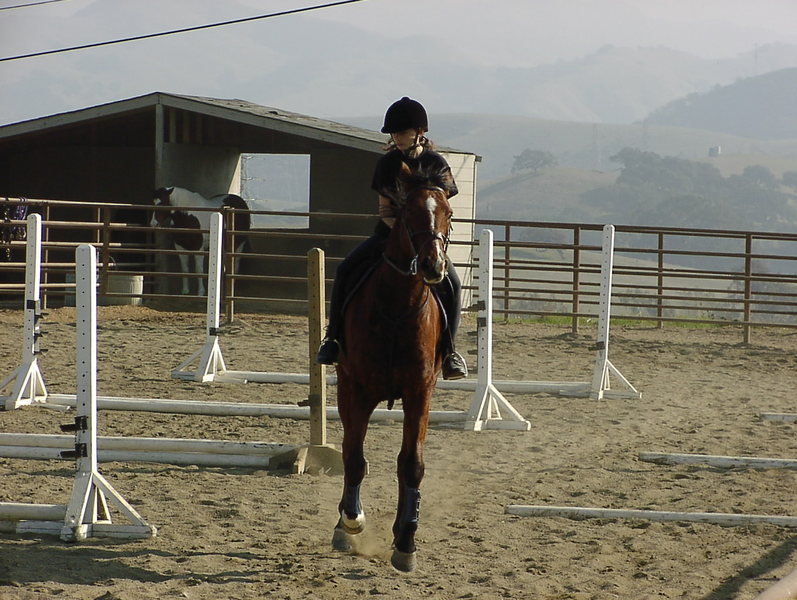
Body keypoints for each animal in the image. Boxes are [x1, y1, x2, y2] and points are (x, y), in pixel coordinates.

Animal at [331, 163, 453, 572]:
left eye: (449, 213)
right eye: (408, 213)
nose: (434, 266)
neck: (398, 306)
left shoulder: (420, 391)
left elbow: (411, 464)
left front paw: (406, 541)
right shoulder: (358, 389)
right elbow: (354, 458)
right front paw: (351, 520)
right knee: (350, 449)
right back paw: (344, 524)